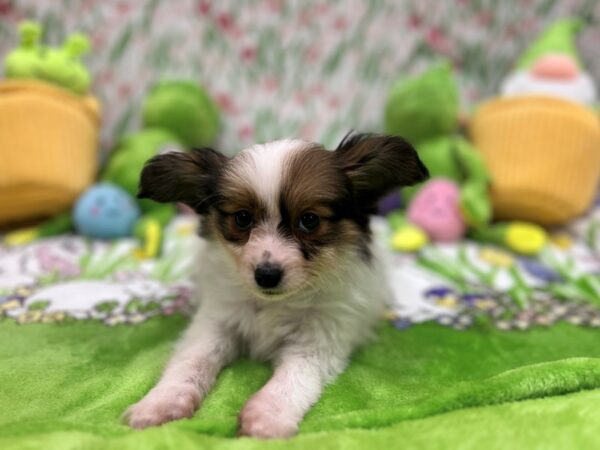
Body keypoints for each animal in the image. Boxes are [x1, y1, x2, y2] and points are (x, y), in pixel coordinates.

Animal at [125, 132, 426, 438]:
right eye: (242, 218)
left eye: (309, 220)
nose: (266, 275)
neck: (275, 304)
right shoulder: (216, 320)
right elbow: (192, 360)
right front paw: (161, 402)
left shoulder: (319, 338)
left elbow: (293, 378)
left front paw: (267, 417)